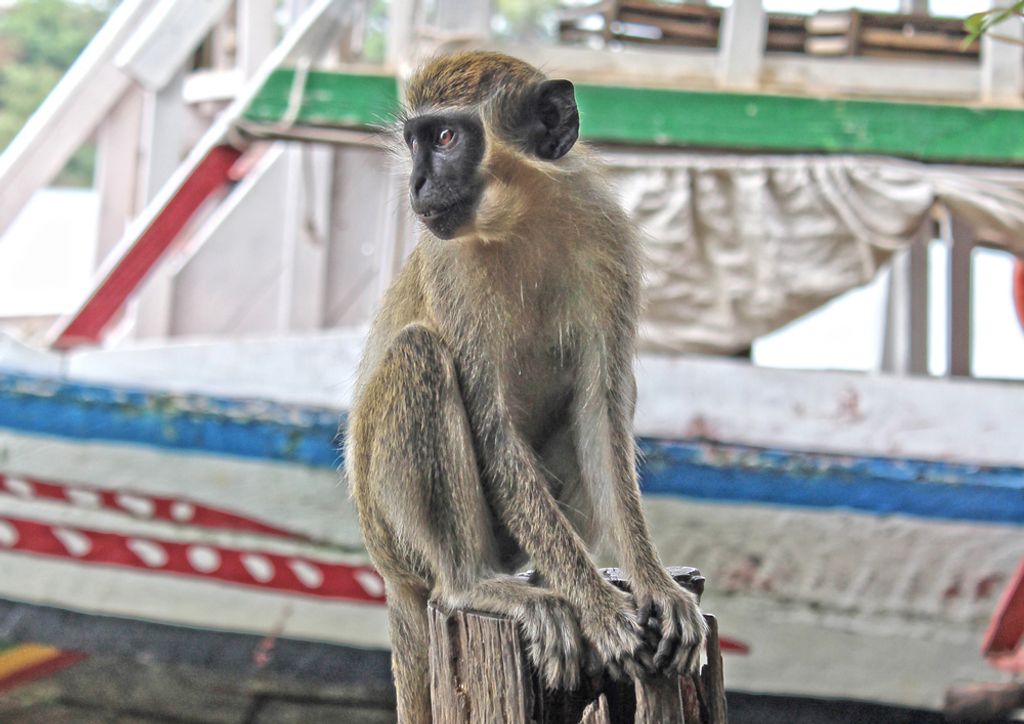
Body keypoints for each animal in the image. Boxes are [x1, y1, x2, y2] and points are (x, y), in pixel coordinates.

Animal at [345, 51, 706, 723]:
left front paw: (654, 585)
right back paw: (478, 584)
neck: (521, 219)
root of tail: (388, 574)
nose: (417, 186)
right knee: (419, 353)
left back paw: (555, 578)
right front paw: (599, 609)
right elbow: (493, 429)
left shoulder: (607, 236)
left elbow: (601, 408)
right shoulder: (449, 265)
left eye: (445, 137)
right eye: (415, 141)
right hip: (391, 527)